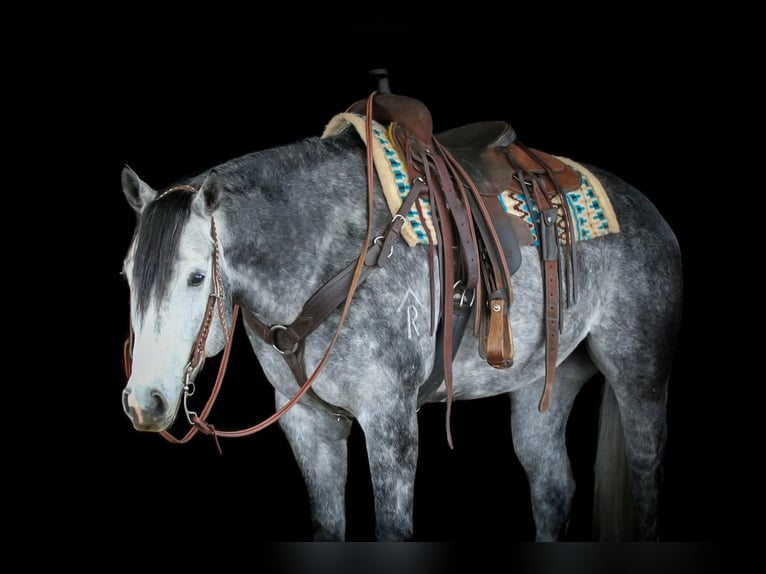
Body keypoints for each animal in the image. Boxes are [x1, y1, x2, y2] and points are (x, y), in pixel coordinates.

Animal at [119, 90, 683, 541]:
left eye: (197, 277)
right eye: (127, 275)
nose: (145, 401)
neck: (334, 254)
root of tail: (648, 211)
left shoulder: (389, 418)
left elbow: (393, 529)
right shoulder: (307, 423)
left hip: (640, 376)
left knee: (647, 478)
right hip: (547, 380)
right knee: (552, 486)